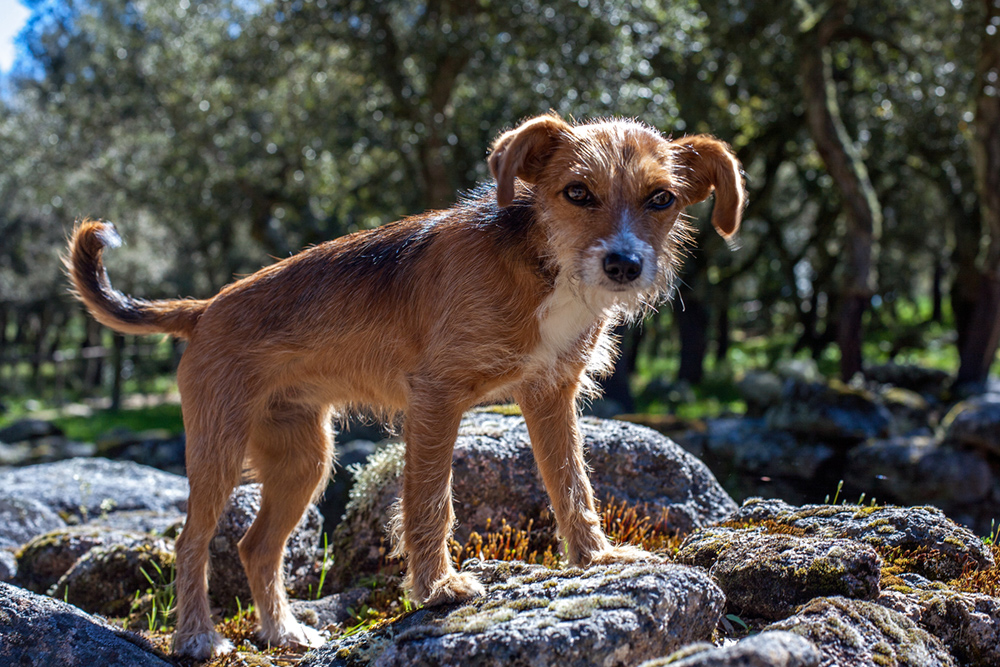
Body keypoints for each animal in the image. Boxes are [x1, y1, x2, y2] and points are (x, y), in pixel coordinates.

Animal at [68, 112, 744, 660]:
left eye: (661, 198)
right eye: (577, 192)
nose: (624, 265)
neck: (541, 264)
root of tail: (205, 308)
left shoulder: (550, 395)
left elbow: (572, 484)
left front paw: (596, 559)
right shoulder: (436, 398)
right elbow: (429, 503)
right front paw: (438, 589)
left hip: (303, 459)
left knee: (256, 547)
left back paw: (283, 632)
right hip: (220, 451)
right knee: (192, 542)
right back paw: (197, 638)